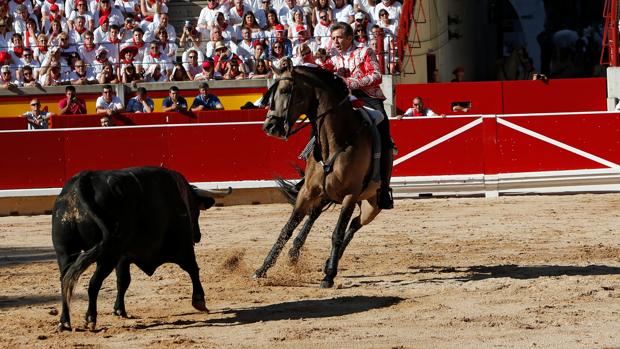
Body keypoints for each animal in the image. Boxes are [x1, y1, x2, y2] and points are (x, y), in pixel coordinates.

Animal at [51, 167, 230, 330]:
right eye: (196, 210)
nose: (198, 236)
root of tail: (83, 180)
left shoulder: (123, 257)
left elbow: (123, 281)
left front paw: (119, 310)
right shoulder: (183, 246)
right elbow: (193, 268)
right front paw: (200, 301)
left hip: (65, 251)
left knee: (65, 280)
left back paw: (64, 322)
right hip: (108, 253)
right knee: (93, 283)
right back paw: (90, 319)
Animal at [251, 64, 388, 286]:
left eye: (285, 91)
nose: (269, 127)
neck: (334, 142)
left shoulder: (350, 195)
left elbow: (337, 233)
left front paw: (329, 276)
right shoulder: (307, 191)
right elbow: (287, 228)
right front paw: (262, 269)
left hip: (371, 205)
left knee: (354, 224)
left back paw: (328, 263)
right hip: (327, 193)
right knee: (317, 214)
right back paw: (296, 252)